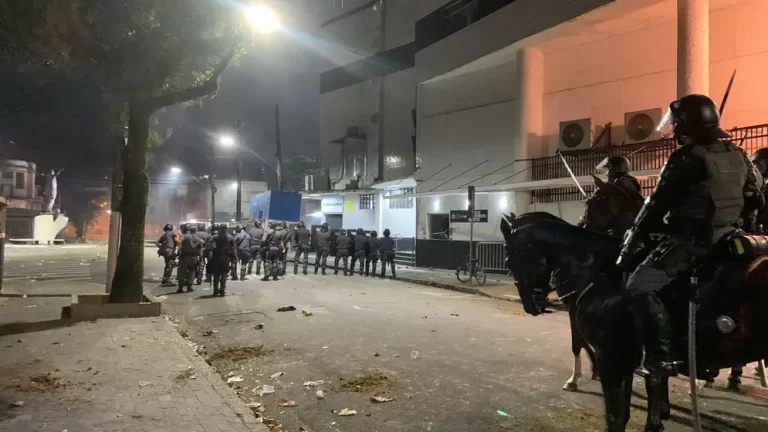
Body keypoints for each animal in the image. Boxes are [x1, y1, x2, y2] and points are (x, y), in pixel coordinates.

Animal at [500, 216, 768, 432]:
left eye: (512, 260)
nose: (531, 306)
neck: (600, 273)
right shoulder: (635, 361)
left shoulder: (612, 360)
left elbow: (616, 417)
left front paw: (576, 379)